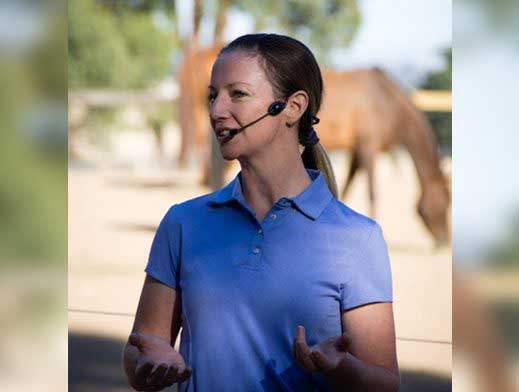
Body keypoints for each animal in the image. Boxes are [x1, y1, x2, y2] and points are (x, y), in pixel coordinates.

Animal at [177, 43, 448, 245]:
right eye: (447, 197)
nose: (443, 240)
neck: (384, 100)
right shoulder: (367, 146)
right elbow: (372, 190)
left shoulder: (357, 151)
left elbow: (348, 183)